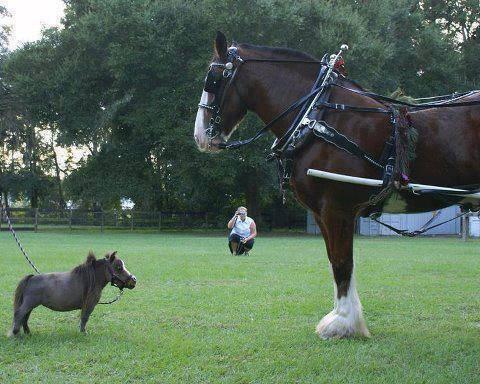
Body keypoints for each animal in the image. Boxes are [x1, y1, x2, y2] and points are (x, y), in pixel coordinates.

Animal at [9, 250, 137, 334]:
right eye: (119, 267)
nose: (134, 280)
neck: (91, 279)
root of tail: (31, 278)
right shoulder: (89, 304)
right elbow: (85, 317)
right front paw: (83, 333)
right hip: (29, 303)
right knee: (19, 314)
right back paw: (16, 333)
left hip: (31, 305)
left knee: (25, 317)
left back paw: (27, 333)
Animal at [193, 33, 478, 340]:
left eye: (213, 79)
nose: (199, 136)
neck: (317, 117)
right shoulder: (323, 213)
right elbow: (335, 261)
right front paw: (346, 318)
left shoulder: (337, 209)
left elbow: (343, 263)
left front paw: (343, 322)